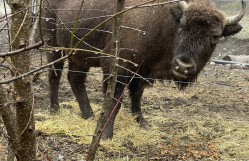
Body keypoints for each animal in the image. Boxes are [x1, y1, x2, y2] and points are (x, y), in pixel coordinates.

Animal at [42, 0, 245, 138]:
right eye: (182, 27)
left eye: (215, 36)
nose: (183, 65)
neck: (164, 22)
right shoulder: (117, 67)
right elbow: (115, 101)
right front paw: (106, 134)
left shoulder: (142, 71)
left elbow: (137, 96)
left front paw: (142, 122)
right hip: (54, 46)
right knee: (55, 75)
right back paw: (54, 110)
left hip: (78, 55)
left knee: (75, 79)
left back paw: (88, 115)